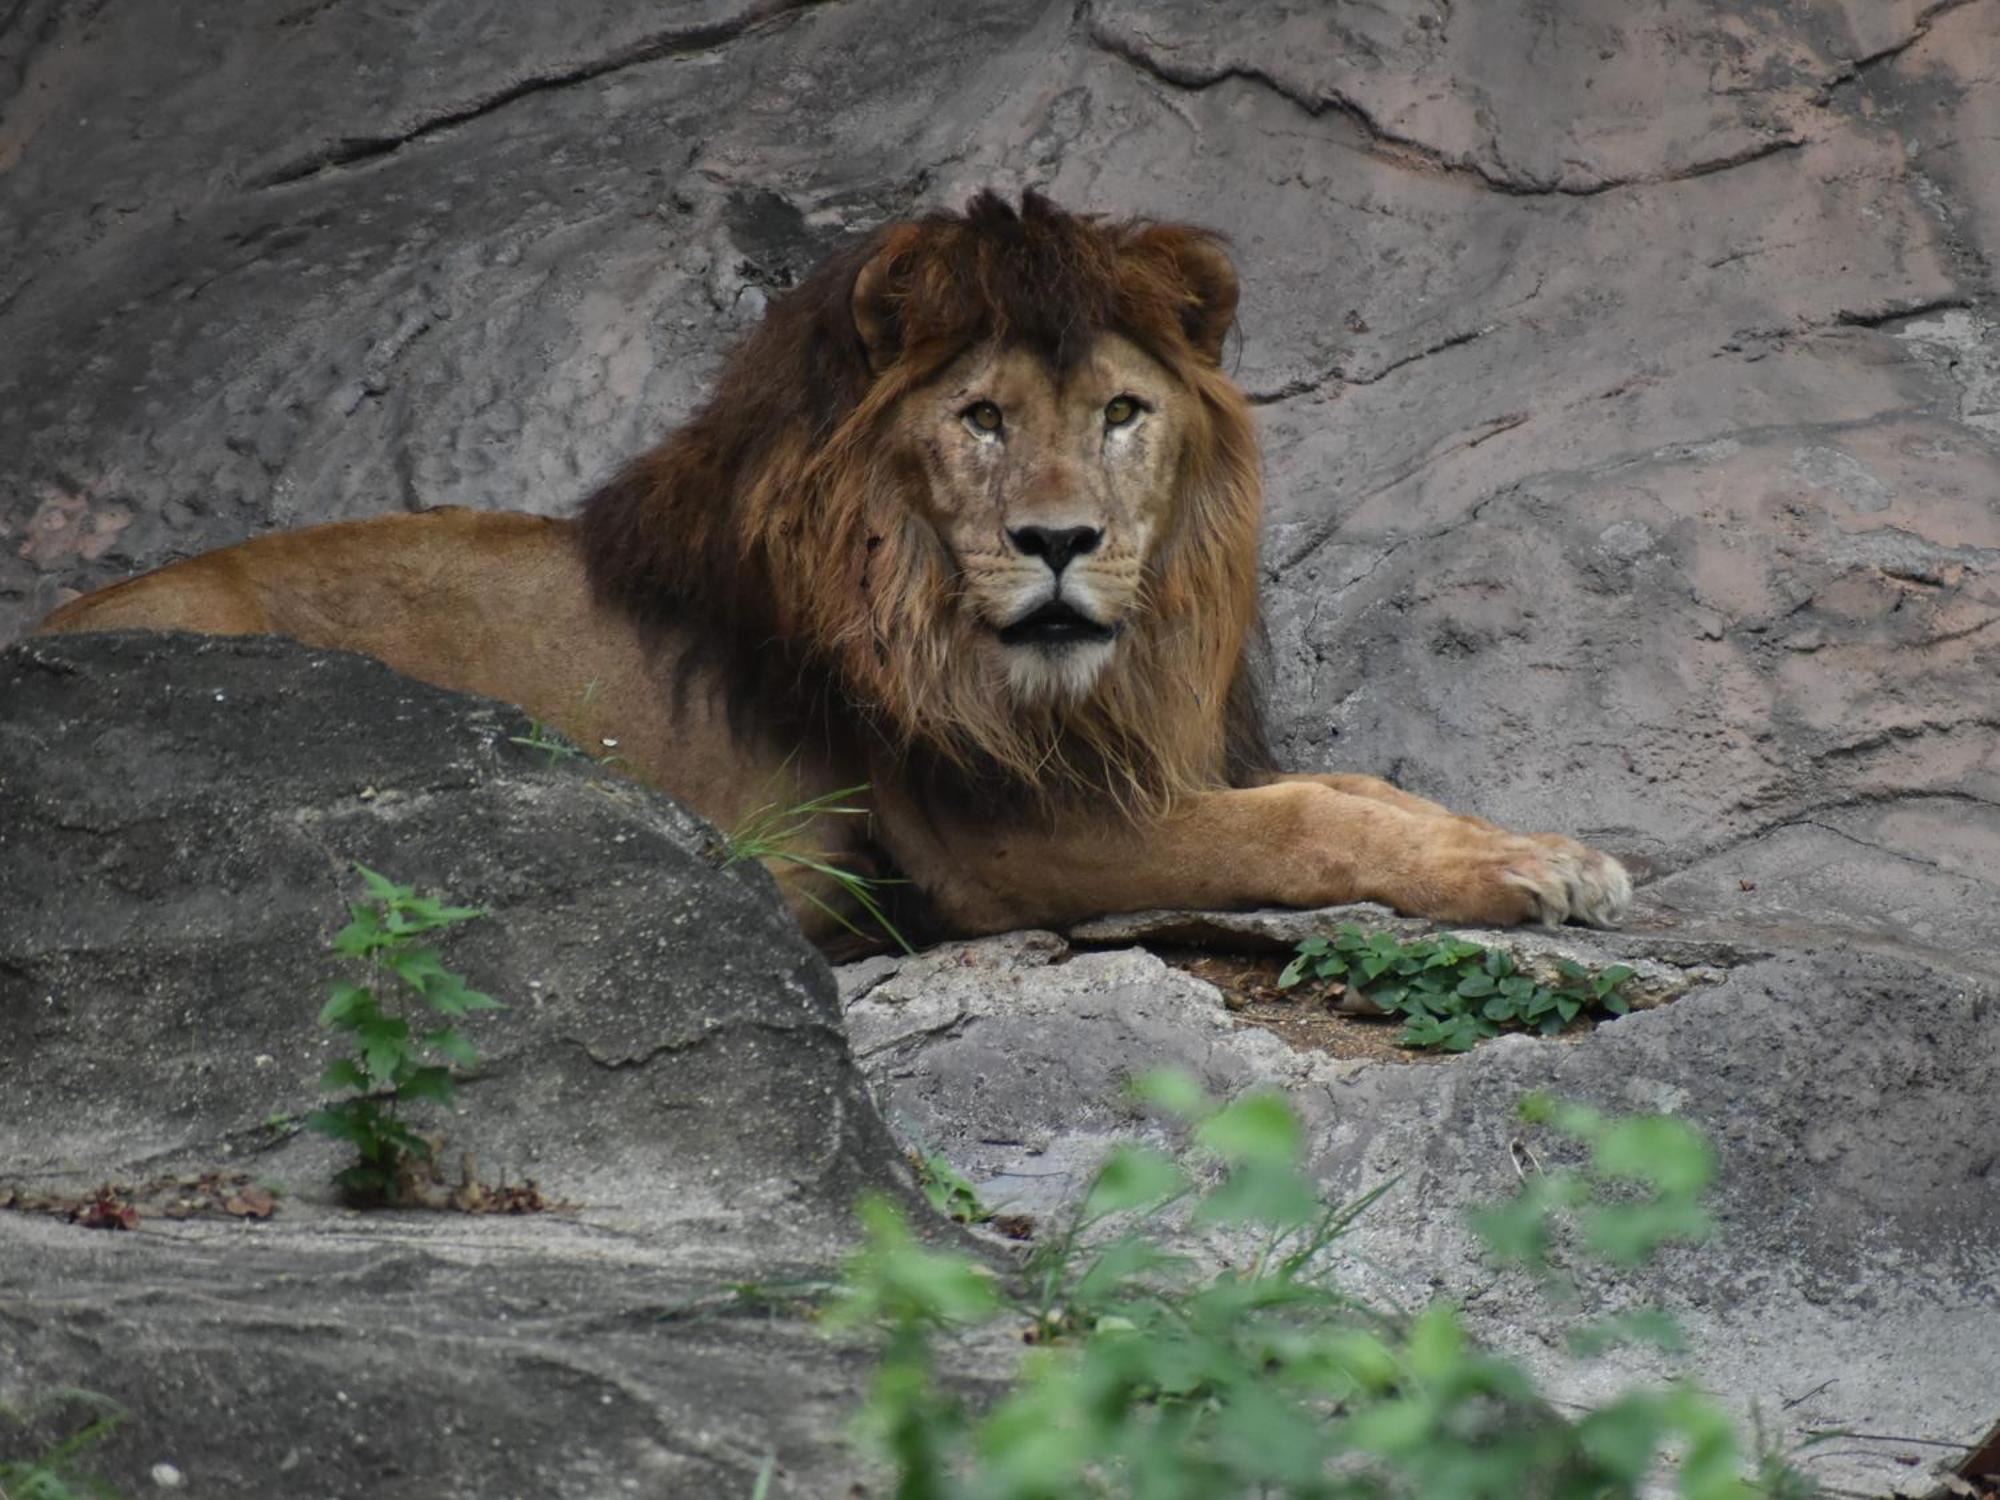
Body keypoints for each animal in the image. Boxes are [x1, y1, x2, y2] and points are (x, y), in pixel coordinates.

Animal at [35, 191, 1624, 952]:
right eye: (981, 419)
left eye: (1121, 412)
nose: (1061, 544)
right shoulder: (1009, 840)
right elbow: (1298, 821)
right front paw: (1521, 871)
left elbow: (1356, 788)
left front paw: (1548, 847)